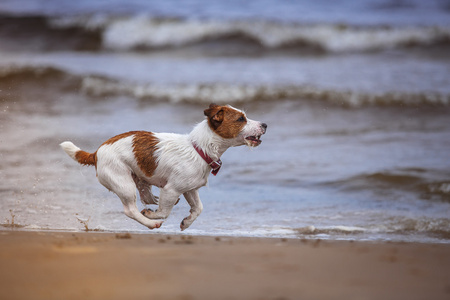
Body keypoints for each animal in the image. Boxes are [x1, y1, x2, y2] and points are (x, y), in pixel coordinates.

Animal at [58, 104, 266, 231]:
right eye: (241, 119)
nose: (265, 124)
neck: (198, 148)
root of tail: (96, 153)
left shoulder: (190, 189)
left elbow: (198, 208)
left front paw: (187, 222)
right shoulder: (172, 189)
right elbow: (164, 212)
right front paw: (153, 215)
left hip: (139, 179)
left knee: (146, 195)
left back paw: (152, 201)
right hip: (123, 183)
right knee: (130, 210)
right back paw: (150, 223)